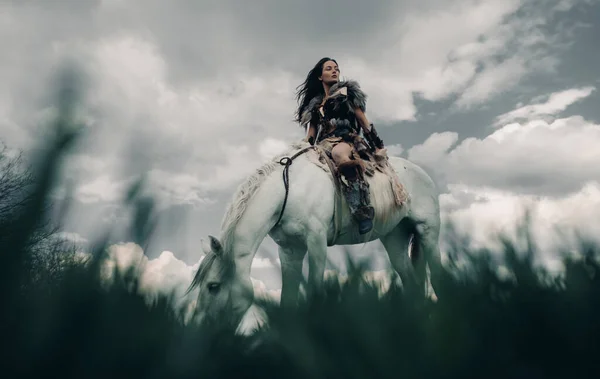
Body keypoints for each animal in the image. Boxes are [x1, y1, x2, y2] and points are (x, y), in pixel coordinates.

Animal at [188, 142, 446, 330]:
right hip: (395, 238)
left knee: (437, 276)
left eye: (213, 286)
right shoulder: (289, 250)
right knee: (412, 284)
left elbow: (315, 290)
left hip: (428, 231)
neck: (287, 190)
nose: (200, 329)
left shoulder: (317, 242)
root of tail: (421, 173)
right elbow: (288, 299)